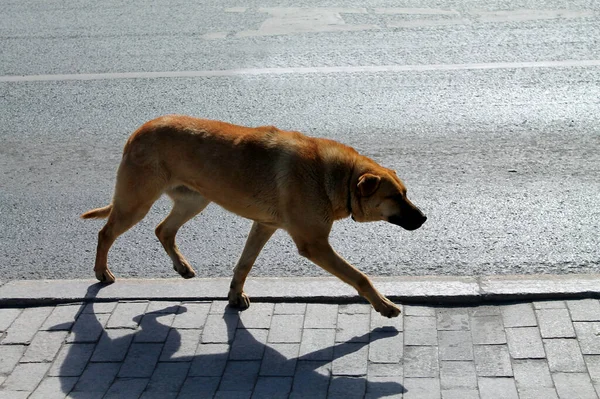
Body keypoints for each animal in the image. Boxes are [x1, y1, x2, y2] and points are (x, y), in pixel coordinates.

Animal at [82, 115, 426, 318]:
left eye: (405, 193)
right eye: (395, 197)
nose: (424, 219)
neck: (337, 176)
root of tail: (140, 129)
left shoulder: (263, 226)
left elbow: (244, 264)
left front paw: (235, 295)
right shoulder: (314, 244)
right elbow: (359, 276)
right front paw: (383, 304)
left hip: (194, 200)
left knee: (163, 230)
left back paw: (181, 266)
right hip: (136, 203)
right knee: (105, 233)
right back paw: (101, 271)